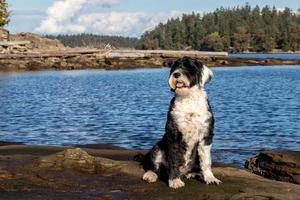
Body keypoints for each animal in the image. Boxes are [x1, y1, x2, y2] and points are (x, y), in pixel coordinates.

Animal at [142, 56, 221, 189]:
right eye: (174, 67)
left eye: (189, 67)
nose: (176, 74)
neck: (188, 99)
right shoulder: (174, 135)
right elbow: (174, 159)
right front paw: (174, 180)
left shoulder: (206, 135)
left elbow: (206, 161)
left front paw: (210, 178)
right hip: (158, 148)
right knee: (155, 167)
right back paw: (150, 175)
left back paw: (193, 174)